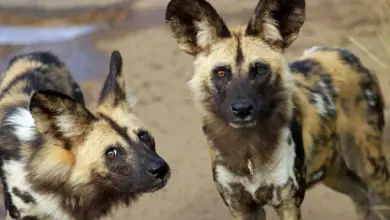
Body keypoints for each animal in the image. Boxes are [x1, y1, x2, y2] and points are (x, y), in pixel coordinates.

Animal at [167, 0, 390, 219]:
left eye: (260, 69)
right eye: (221, 73)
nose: (242, 109)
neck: (248, 150)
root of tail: (344, 53)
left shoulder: (288, 203)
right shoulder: (241, 207)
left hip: (372, 168)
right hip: (333, 172)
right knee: (361, 194)